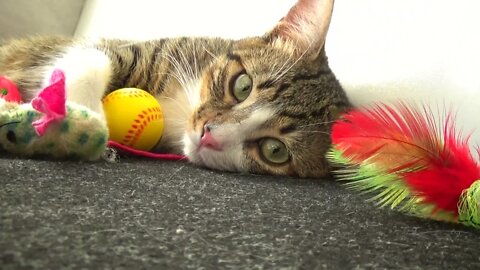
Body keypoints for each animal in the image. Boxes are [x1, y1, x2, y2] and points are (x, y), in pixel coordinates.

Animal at [0, 0, 348, 177]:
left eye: (275, 151)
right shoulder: (142, 51)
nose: (208, 133)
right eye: (243, 85)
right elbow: (92, 59)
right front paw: (75, 121)